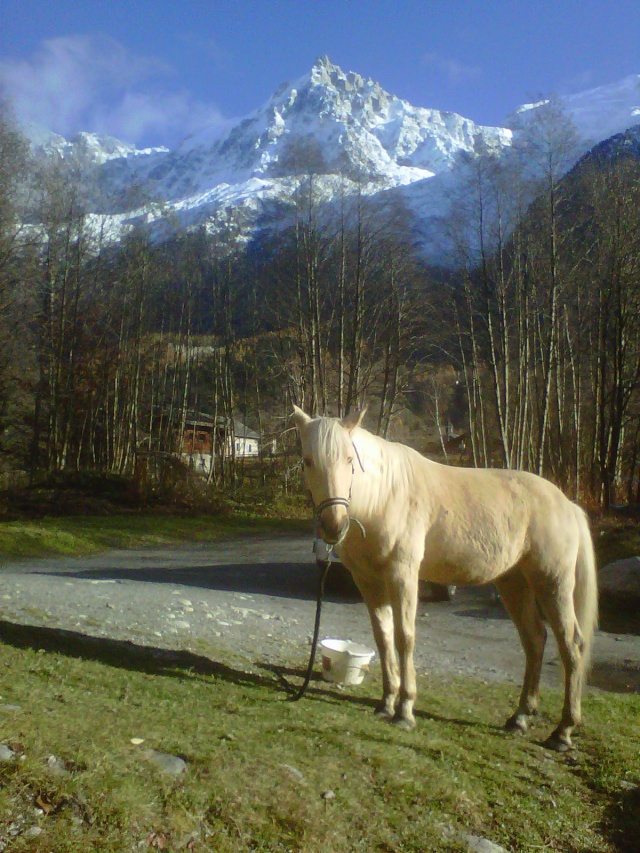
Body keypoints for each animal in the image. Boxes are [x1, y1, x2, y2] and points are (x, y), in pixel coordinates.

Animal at [296, 410, 600, 748]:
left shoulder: (403, 575)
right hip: (514, 584)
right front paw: (386, 703)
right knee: (535, 640)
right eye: (307, 460)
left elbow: (404, 638)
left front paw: (405, 711)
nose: (333, 526)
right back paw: (520, 718)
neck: (384, 497)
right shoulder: (369, 582)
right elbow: (383, 637)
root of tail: (567, 505)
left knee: (571, 645)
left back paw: (563, 731)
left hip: (552, 583)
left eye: (350, 459)